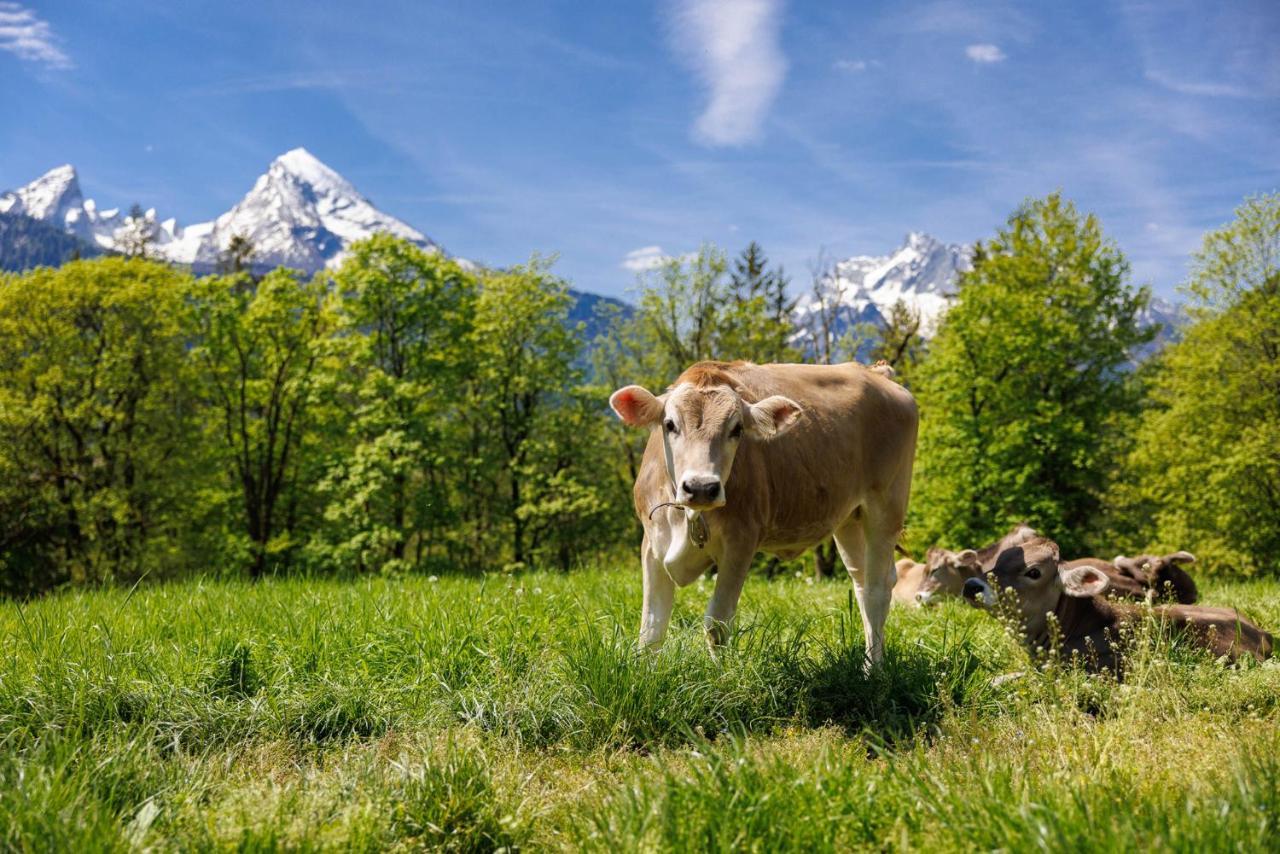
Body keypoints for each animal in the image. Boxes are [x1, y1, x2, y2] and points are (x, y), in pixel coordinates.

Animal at [611, 358, 921, 660]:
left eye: (736, 429)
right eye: (670, 424)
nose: (701, 487)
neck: (687, 517)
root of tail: (875, 373)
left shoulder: (741, 541)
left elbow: (717, 625)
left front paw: (722, 675)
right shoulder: (652, 544)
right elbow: (651, 631)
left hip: (886, 507)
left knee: (878, 591)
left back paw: (875, 671)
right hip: (849, 520)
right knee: (863, 585)